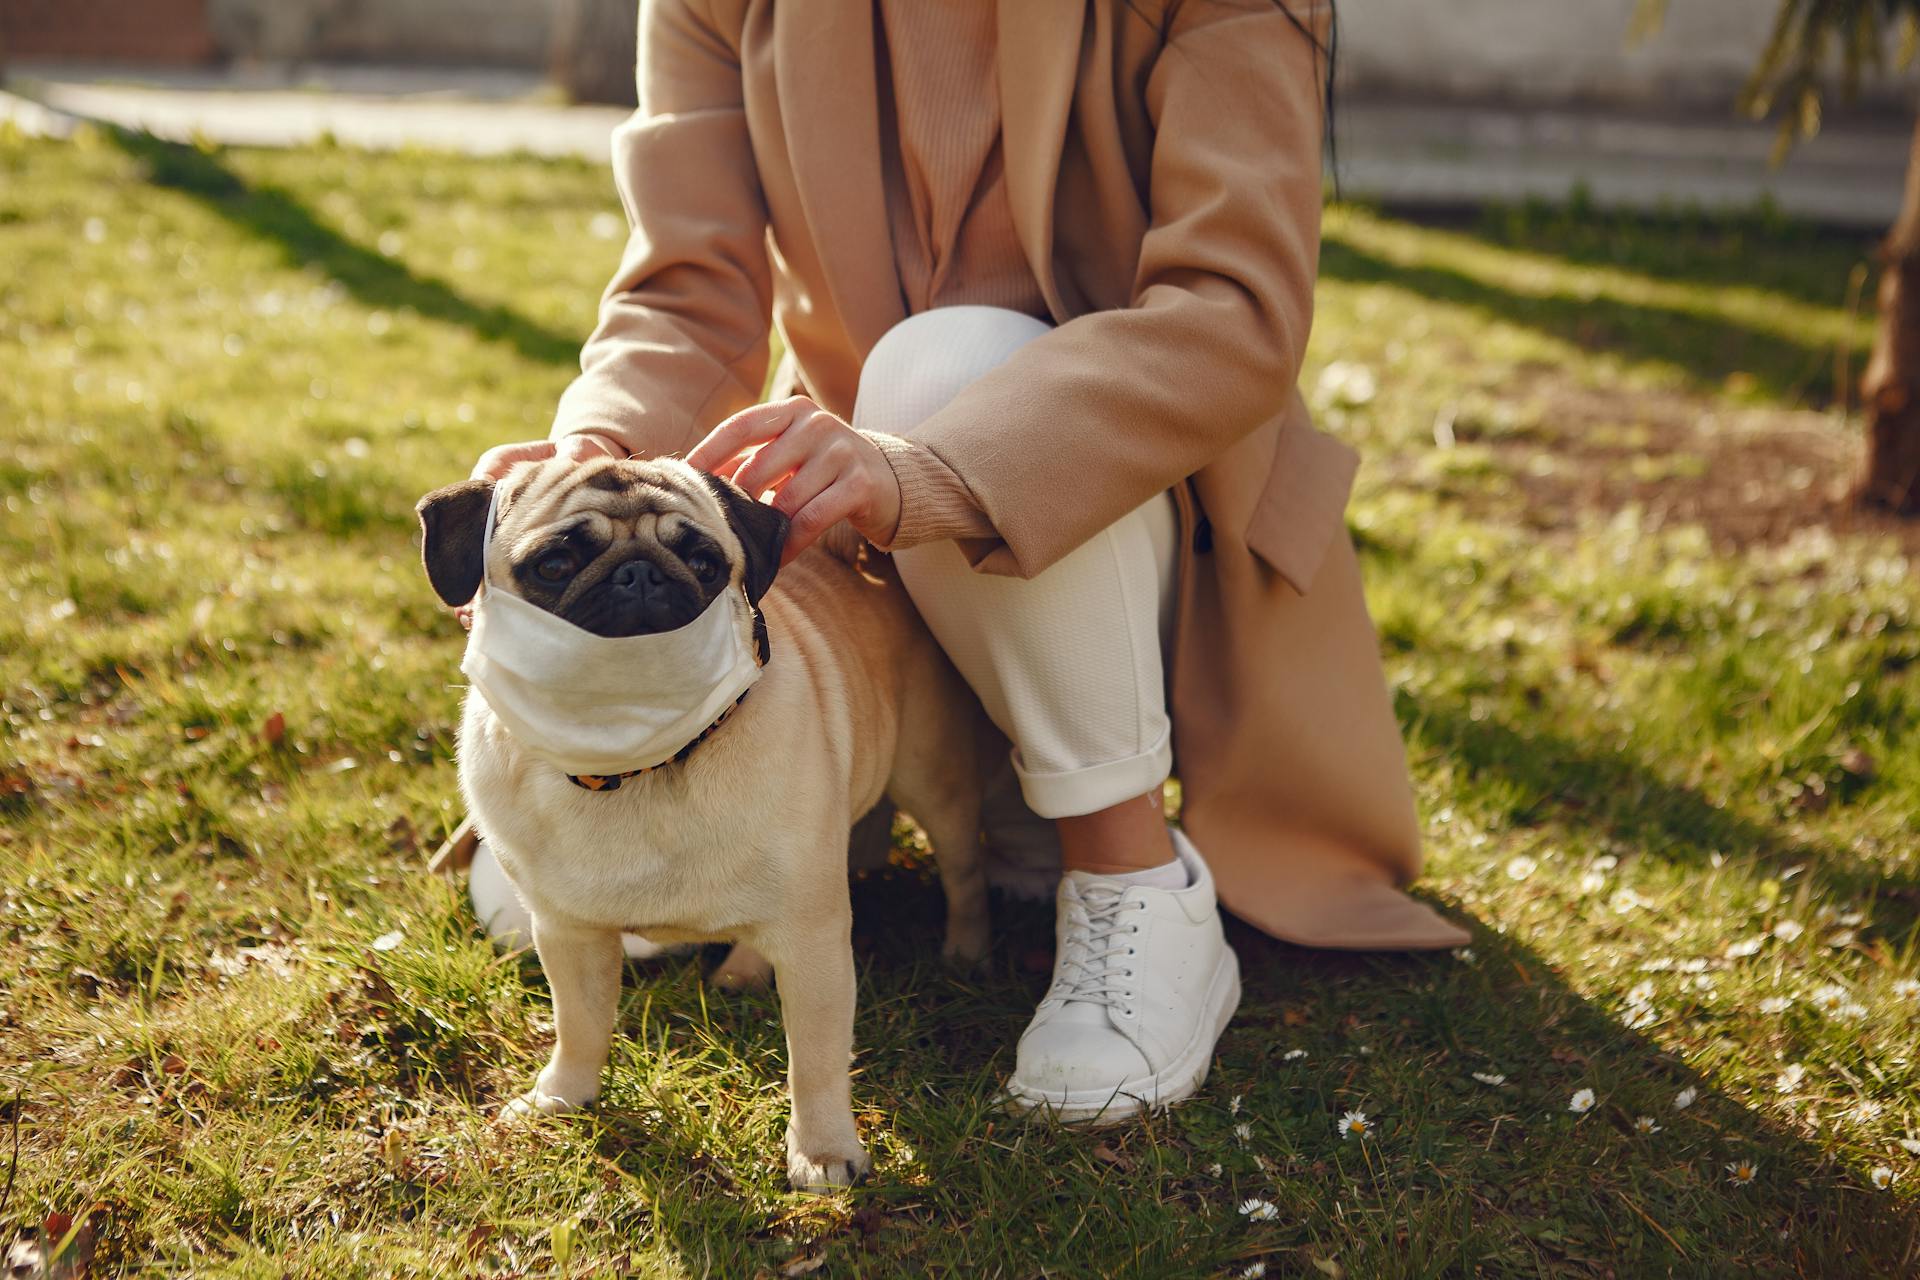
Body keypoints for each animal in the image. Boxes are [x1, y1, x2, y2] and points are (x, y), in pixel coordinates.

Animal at [414, 452, 998, 1189]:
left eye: (705, 562)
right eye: (554, 563)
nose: (640, 574)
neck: (638, 762)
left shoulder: (815, 944)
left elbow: (815, 1060)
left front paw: (823, 1151)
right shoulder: (569, 935)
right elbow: (578, 1025)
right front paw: (562, 1098)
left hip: (933, 783)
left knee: (963, 872)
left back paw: (966, 953)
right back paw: (743, 971)